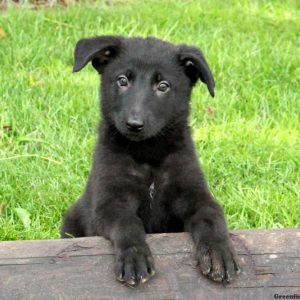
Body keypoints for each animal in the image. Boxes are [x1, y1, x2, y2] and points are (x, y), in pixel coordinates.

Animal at [61, 35, 239, 286]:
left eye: (163, 86)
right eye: (122, 80)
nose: (134, 124)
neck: (148, 154)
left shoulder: (195, 194)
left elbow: (211, 216)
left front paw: (218, 253)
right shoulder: (110, 202)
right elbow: (128, 223)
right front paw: (134, 257)